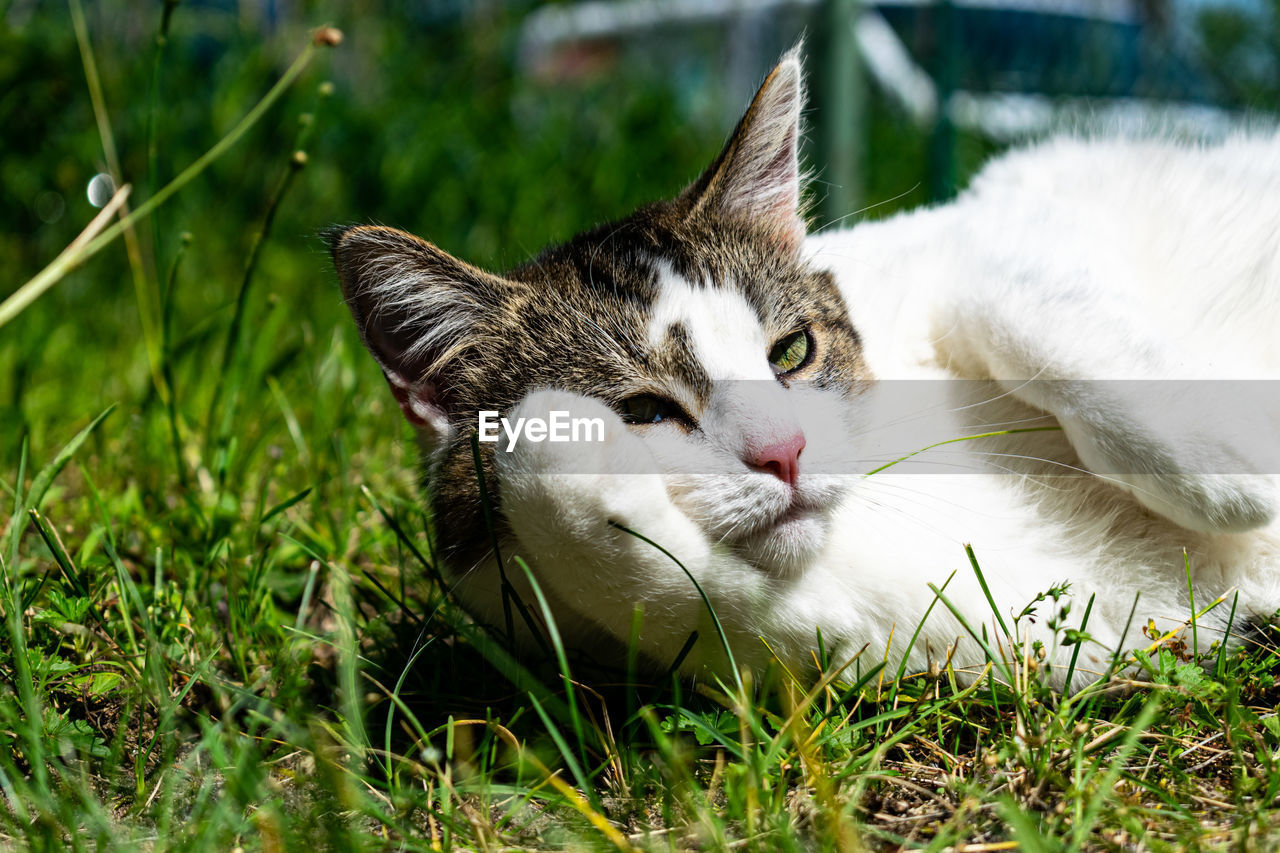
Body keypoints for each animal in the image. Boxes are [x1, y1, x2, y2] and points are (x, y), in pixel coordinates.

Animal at [327, 43, 1280, 686]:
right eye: (640, 412)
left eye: (792, 352)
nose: (785, 453)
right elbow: (669, 588)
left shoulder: (1008, 207)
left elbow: (1008, 297)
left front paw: (1231, 467)